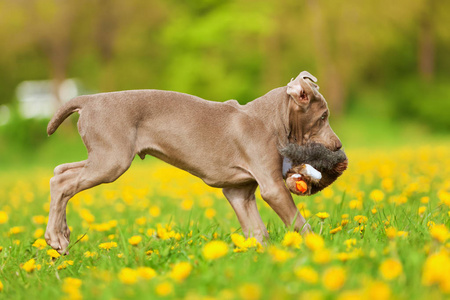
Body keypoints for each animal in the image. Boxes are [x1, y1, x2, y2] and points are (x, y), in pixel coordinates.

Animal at [44, 72, 342, 253]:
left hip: (102, 156)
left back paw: (63, 233)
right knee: (62, 181)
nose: (338, 146)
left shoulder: (239, 192)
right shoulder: (272, 187)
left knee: (59, 171)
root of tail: (89, 100)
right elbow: (298, 222)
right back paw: (56, 237)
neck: (270, 118)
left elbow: (258, 231)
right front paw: (317, 248)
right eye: (323, 117)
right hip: (112, 160)